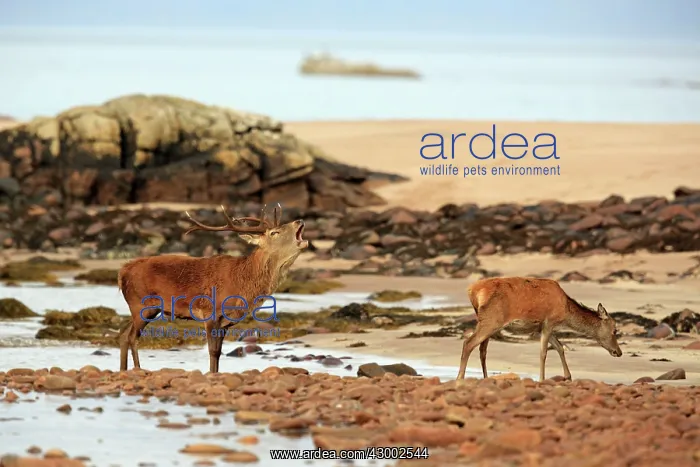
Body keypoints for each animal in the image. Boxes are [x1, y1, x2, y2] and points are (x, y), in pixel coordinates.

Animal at [117, 203, 308, 373]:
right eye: (274, 232)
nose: (299, 220)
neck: (243, 285)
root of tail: (123, 271)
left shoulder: (225, 322)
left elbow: (219, 352)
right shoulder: (210, 313)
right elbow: (213, 351)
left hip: (146, 308)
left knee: (124, 334)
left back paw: (124, 369)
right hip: (141, 304)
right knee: (132, 336)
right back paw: (137, 368)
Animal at [456, 277, 622, 382]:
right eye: (614, 330)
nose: (618, 352)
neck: (566, 311)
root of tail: (472, 292)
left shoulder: (539, 327)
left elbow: (559, 347)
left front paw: (568, 377)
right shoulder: (549, 321)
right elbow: (543, 352)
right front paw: (542, 379)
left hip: (487, 322)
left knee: (482, 349)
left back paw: (485, 378)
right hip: (491, 320)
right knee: (468, 343)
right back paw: (460, 378)